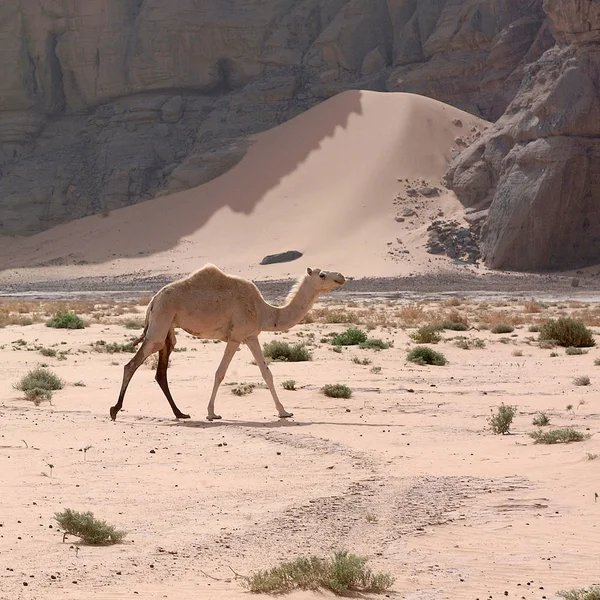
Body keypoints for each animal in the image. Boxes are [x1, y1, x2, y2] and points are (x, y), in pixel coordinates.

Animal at [110, 262, 346, 422]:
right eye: (322, 275)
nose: (342, 276)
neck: (264, 311)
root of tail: (153, 300)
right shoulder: (236, 337)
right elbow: (220, 373)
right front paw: (211, 413)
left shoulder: (251, 336)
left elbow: (267, 373)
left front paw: (284, 412)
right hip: (162, 318)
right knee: (132, 364)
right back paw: (114, 410)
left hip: (168, 325)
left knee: (161, 369)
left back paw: (180, 413)